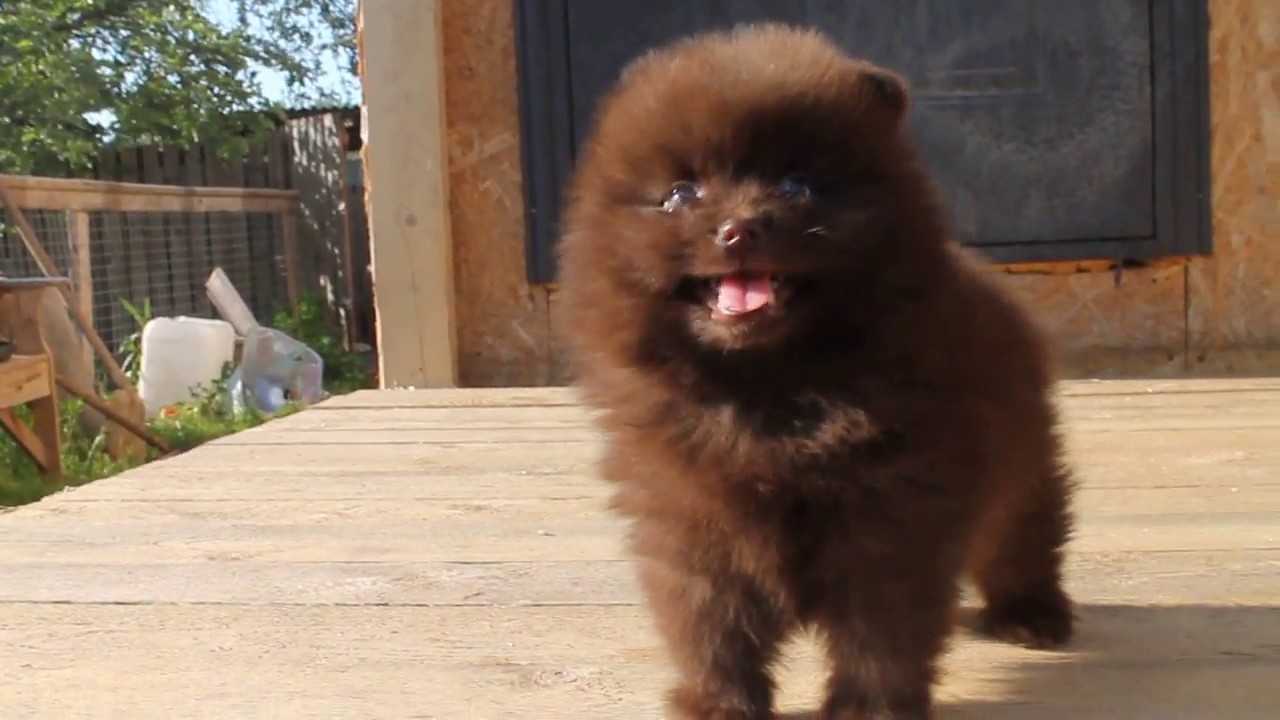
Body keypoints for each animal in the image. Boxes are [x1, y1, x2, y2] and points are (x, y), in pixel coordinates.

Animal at [555, 22, 1075, 717]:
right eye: (681, 194)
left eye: (797, 187)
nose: (737, 229)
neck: (769, 391)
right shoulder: (689, 516)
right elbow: (710, 625)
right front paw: (719, 702)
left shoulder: (894, 514)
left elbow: (881, 632)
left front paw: (868, 708)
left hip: (1023, 454)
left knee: (1023, 530)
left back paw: (1032, 612)